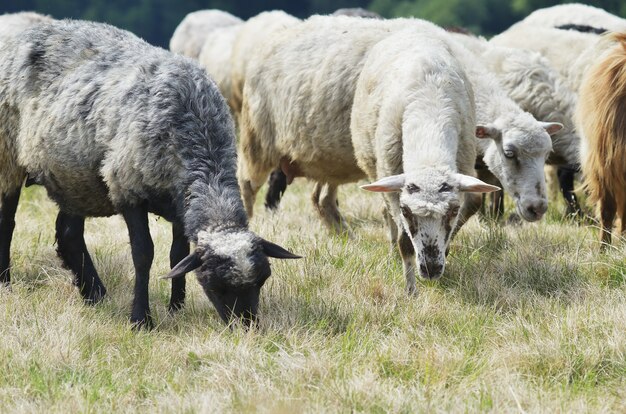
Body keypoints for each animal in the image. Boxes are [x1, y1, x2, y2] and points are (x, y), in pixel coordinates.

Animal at [0, 20, 298, 330]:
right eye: (215, 285)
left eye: (262, 280)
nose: (246, 327)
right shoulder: (128, 189)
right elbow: (143, 254)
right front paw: (141, 318)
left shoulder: (180, 203)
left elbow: (178, 254)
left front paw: (176, 307)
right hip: (8, 155)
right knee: (8, 222)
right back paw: (6, 282)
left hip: (75, 178)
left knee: (69, 233)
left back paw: (95, 295)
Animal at [239, 16, 560, 238]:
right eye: (509, 153)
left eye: (547, 155)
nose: (538, 208)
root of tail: (278, 34)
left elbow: (470, 203)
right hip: (257, 139)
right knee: (247, 186)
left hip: (329, 158)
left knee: (321, 199)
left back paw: (346, 236)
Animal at [352, 28, 498, 292]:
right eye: (406, 211)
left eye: (453, 211)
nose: (431, 269)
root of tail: (413, 27)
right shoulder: (393, 184)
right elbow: (404, 241)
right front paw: (410, 291)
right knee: (386, 215)